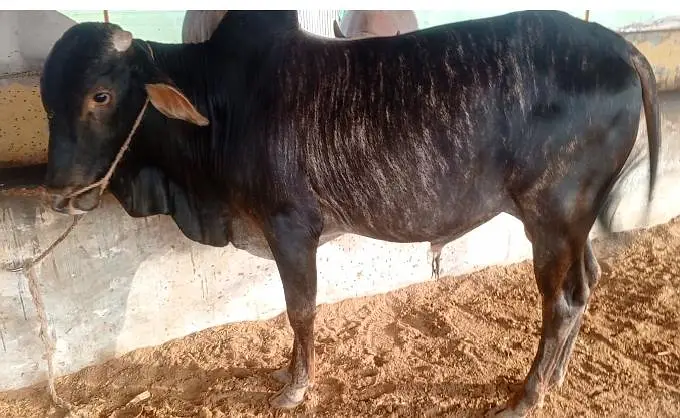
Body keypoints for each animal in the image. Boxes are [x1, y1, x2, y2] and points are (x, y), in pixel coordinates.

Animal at [39, 10, 660, 417]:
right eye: (45, 101)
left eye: (100, 95)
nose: (60, 189)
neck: (222, 104)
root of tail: (618, 46)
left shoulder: (291, 227)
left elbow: (300, 309)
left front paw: (294, 386)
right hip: (576, 221)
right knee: (587, 282)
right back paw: (555, 378)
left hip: (552, 214)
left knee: (562, 301)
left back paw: (526, 397)